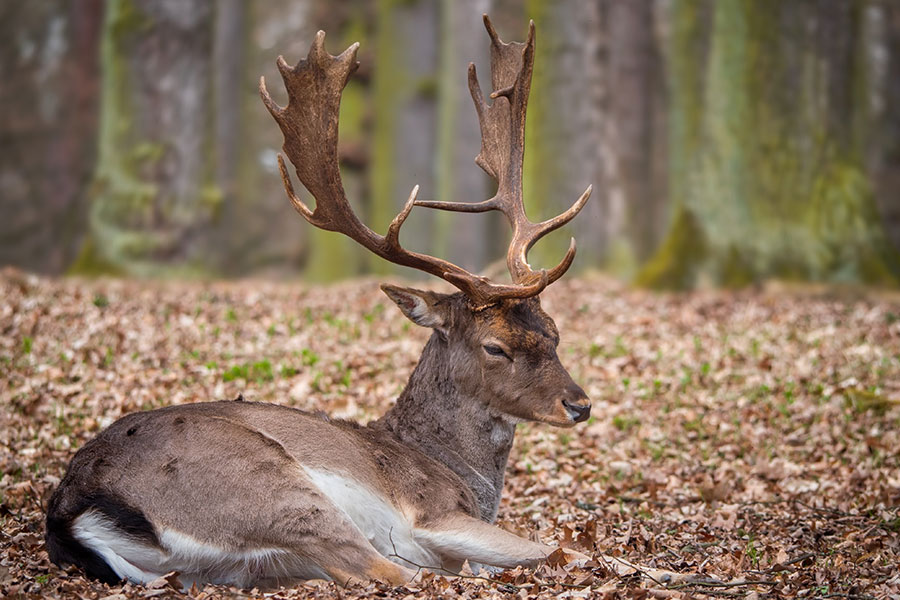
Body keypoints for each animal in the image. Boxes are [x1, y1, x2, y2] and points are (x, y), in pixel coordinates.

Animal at [45, 16, 602, 590]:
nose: (580, 404)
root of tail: (74, 509)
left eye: (554, 332)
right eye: (495, 347)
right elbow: (557, 550)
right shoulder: (433, 512)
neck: (456, 473)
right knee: (387, 570)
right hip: (271, 486)